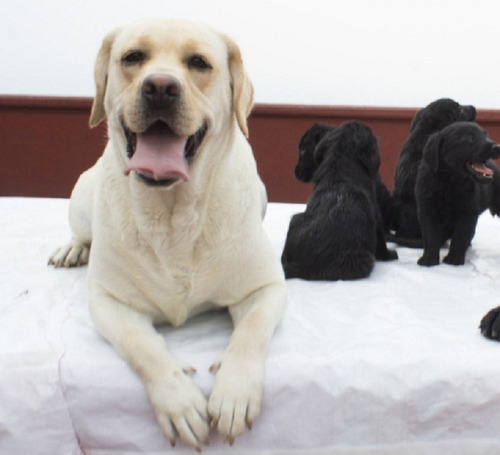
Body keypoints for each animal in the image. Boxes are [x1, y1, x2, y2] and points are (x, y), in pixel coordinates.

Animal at [50, 18, 288, 452]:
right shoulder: (109, 302)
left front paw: (234, 393)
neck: (174, 213)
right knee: (80, 231)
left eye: (199, 63)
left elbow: (250, 333)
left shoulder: (265, 289)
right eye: (132, 57)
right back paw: (72, 249)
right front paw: (180, 402)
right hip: (80, 199)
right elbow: (142, 346)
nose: (160, 87)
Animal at [284, 119, 396, 280]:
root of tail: (301, 267)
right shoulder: (376, 212)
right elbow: (381, 237)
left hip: (295, 219)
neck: (340, 162)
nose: (295, 173)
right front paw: (388, 255)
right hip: (360, 260)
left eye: (303, 151)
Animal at [414, 123, 500, 268]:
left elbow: (460, 237)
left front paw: (454, 258)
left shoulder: (468, 213)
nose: (497, 147)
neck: (450, 182)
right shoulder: (427, 210)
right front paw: (429, 259)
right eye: (470, 138)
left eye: (486, 135)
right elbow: (430, 236)